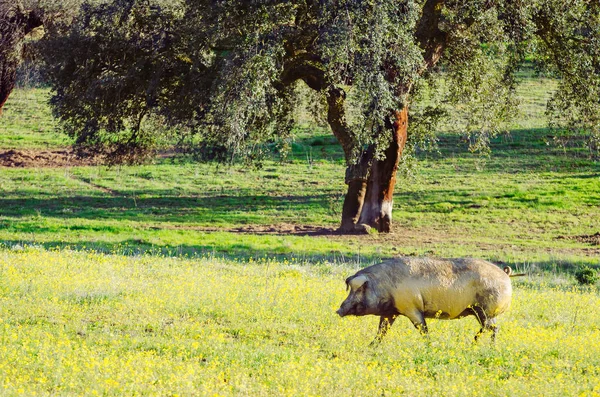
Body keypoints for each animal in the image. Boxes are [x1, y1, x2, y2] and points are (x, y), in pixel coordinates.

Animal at [336, 255, 512, 342]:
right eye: (350, 290)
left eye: (359, 290)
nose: (338, 310)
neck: (385, 285)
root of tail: (506, 276)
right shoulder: (389, 313)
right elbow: (382, 332)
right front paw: (371, 347)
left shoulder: (412, 308)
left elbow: (423, 329)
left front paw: (429, 345)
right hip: (481, 312)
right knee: (491, 327)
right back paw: (474, 343)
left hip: (484, 310)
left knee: (492, 328)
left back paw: (479, 344)